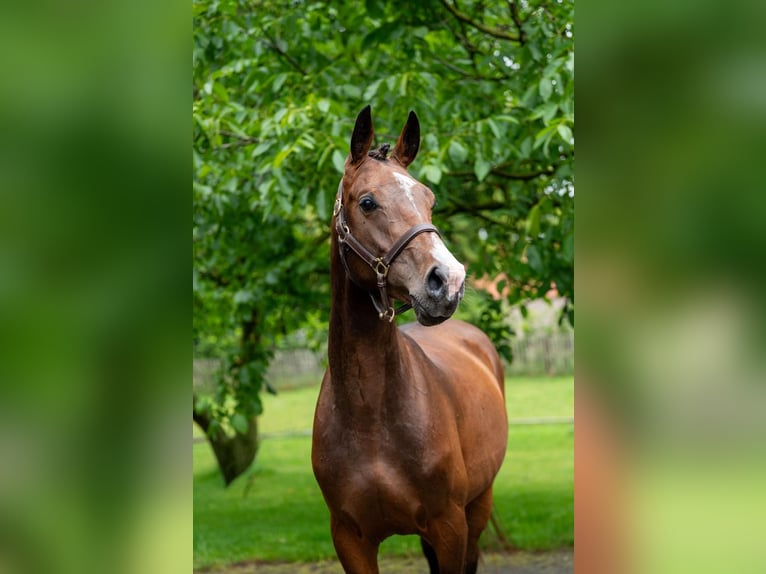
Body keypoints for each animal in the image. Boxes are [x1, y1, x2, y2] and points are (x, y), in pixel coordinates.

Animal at [311, 106, 508, 574]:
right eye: (367, 202)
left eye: (429, 199)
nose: (448, 281)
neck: (369, 417)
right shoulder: (350, 539)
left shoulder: (450, 526)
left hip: (479, 506)